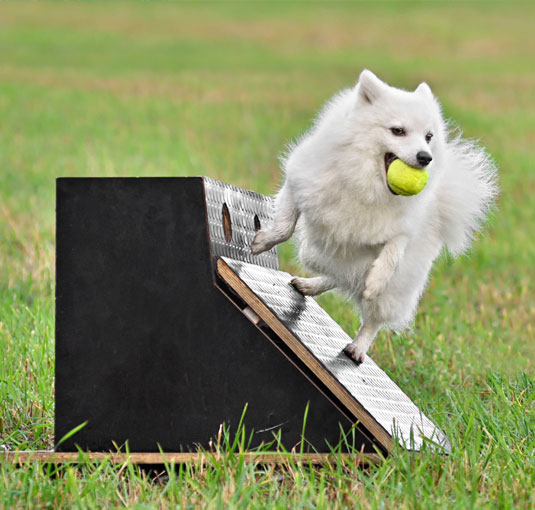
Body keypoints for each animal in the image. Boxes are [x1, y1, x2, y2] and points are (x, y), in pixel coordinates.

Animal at [251, 69, 498, 364]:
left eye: (428, 136)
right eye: (398, 131)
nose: (425, 157)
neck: (367, 183)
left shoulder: (402, 230)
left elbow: (391, 253)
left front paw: (376, 280)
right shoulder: (299, 184)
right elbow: (285, 228)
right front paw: (262, 243)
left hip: (397, 285)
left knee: (371, 312)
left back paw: (357, 346)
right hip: (315, 252)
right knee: (335, 272)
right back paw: (309, 286)